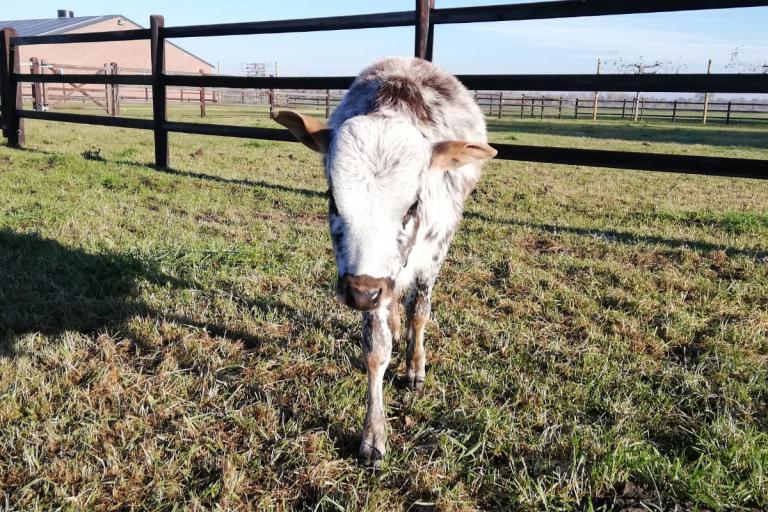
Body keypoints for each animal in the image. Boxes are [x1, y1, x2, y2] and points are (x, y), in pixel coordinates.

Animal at [276, 58, 498, 466]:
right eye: (332, 198)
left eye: (413, 204)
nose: (362, 294)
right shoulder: (369, 278)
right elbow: (376, 349)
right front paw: (373, 435)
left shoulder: (431, 257)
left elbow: (420, 314)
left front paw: (415, 367)